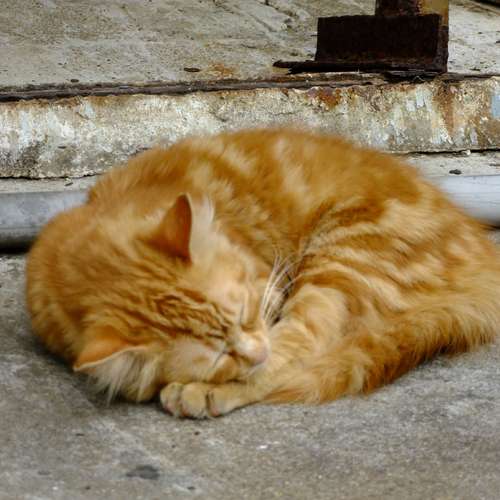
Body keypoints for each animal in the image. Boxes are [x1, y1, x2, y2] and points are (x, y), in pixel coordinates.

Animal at [26, 128, 500, 418]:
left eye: (245, 314)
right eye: (219, 356)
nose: (255, 354)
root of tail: (482, 257)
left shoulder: (269, 289)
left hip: (340, 261)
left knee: (300, 351)